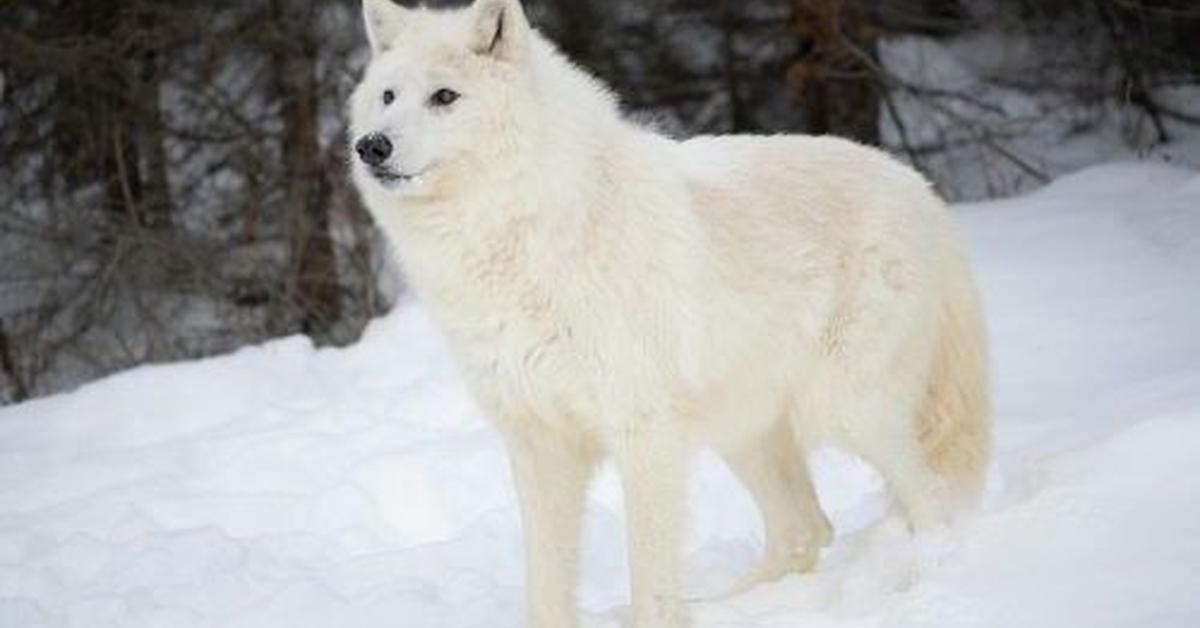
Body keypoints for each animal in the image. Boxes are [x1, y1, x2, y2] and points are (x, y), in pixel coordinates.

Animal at [345, 2, 984, 624]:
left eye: (444, 96)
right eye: (388, 96)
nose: (371, 146)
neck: (526, 231)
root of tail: (923, 191)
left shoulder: (644, 432)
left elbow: (649, 583)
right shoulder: (539, 444)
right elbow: (546, 589)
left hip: (848, 412)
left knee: (931, 500)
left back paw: (930, 579)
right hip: (746, 433)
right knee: (806, 528)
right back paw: (732, 607)